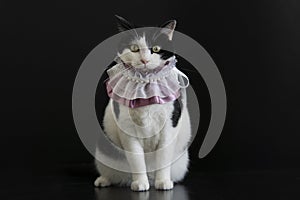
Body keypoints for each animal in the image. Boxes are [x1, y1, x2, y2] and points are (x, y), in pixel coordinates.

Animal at [94, 15, 192, 191]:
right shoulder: (127, 129)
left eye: (157, 49)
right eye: (134, 48)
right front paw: (140, 183)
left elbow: (163, 158)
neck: (145, 86)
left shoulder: (169, 128)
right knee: (111, 173)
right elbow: (137, 160)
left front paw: (163, 182)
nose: (145, 60)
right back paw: (103, 181)